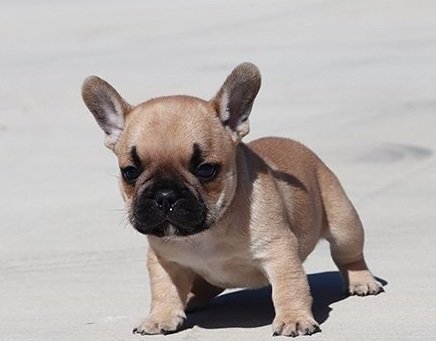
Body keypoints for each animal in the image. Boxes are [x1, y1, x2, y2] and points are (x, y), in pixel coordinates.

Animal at [81, 62, 382, 336]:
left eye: (205, 169)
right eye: (130, 172)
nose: (165, 195)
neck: (204, 234)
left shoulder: (279, 250)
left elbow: (289, 286)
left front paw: (294, 318)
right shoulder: (164, 260)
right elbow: (164, 289)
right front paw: (160, 317)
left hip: (343, 223)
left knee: (348, 254)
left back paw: (361, 281)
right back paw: (189, 299)